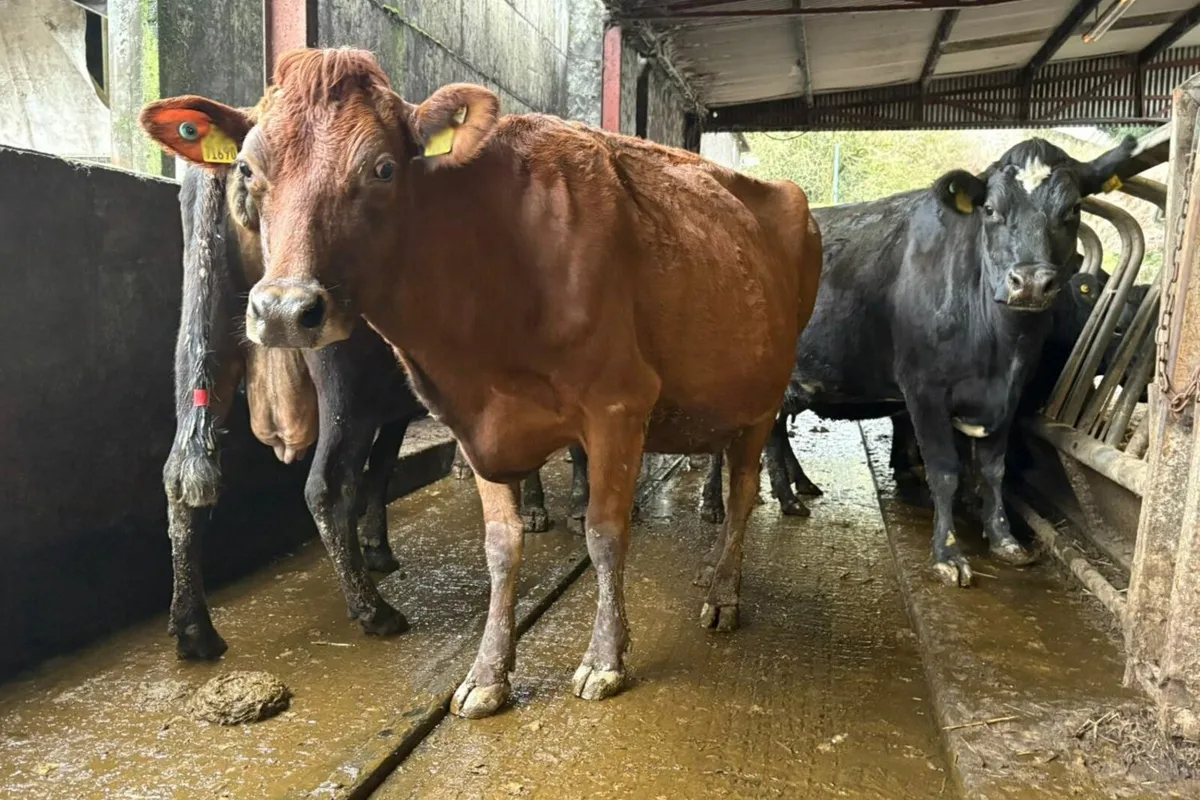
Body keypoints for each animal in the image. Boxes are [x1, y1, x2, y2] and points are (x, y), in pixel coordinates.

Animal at [139, 96, 575, 660]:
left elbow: (384, 469)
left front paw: (377, 546)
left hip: (204, 335)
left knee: (182, 474)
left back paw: (194, 627)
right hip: (342, 378)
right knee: (325, 485)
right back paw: (373, 610)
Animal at [696, 136, 1133, 587]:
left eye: (1073, 209)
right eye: (991, 210)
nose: (1029, 283)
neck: (998, 348)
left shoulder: (1006, 397)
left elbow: (994, 467)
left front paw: (1004, 540)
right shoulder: (924, 391)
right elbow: (944, 470)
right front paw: (948, 554)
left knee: (771, 434)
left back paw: (790, 496)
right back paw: (715, 503)